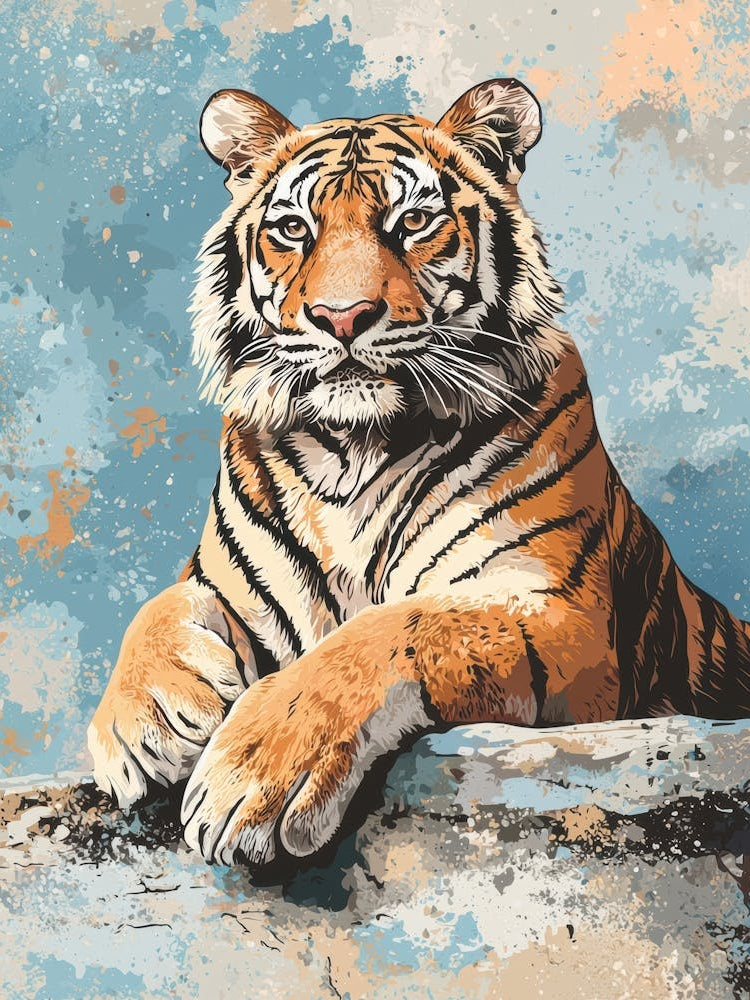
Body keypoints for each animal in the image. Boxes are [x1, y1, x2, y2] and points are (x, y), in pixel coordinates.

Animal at [88, 78, 750, 866]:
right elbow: (159, 607)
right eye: (293, 229)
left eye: (413, 221)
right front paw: (139, 724)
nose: (341, 317)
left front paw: (252, 773)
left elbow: (392, 628)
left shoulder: (560, 614)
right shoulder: (230, 586)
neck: (353, 449)